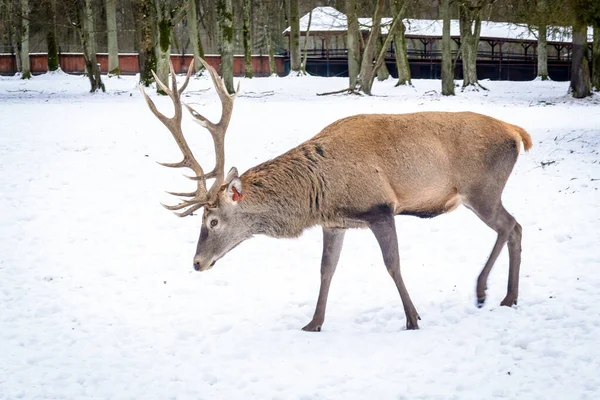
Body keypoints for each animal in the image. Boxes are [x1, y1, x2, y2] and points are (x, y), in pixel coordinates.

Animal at [142, 57, 536, 332]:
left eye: (213, 220)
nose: (197, 263)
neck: (319, 192)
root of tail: (518, 132)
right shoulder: (335, 222)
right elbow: (325, 270)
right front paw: (313, 323)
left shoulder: (380, 208)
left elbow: (392, 265)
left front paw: (412, 318)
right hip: (482, 193)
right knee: (515, 227)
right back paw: (506, 296)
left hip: (481, 189)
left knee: (510, 226)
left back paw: (487, 292)